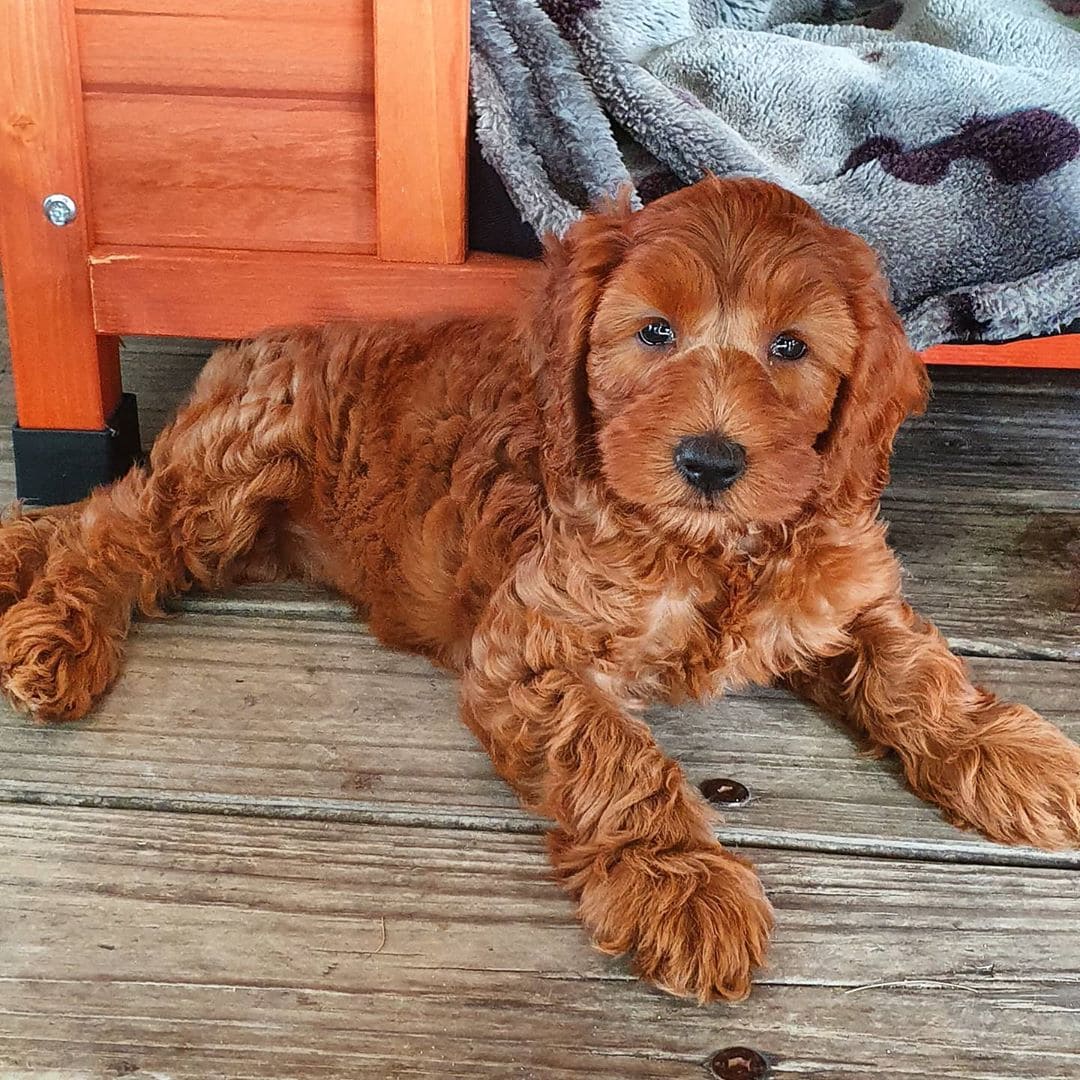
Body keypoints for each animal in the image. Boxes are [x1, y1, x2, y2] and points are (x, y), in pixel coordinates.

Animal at [2, 179, 1080, 1002]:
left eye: (791, 348)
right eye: (654, 332)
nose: (709, 461)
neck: (707, 547)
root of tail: (253, 338)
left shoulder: (837, 594)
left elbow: (916, 669)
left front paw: (1015, 756)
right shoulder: (532, 645)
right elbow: (622, 760)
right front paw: (685, 889)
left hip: (251, 531)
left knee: (105, 511)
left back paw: (19, 557)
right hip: (238, 470)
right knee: (117, 527)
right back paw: (57, 635)